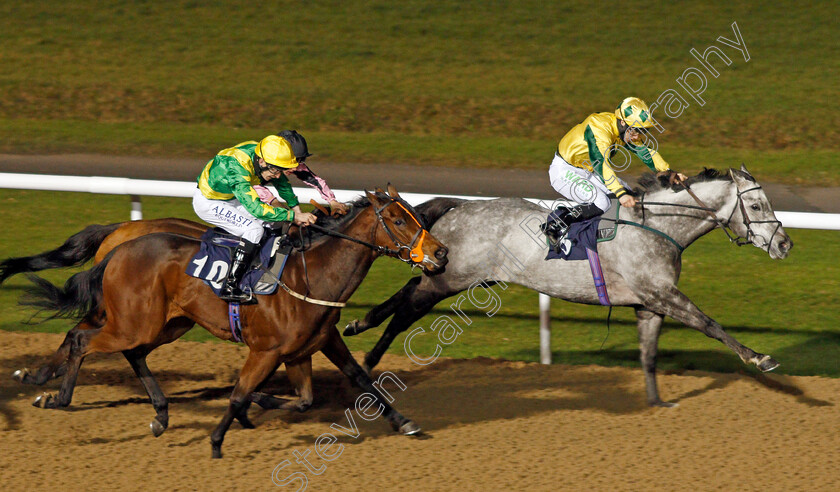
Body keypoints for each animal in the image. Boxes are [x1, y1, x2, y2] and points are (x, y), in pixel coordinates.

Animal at [19, 185, 446, 458]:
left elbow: (346, 385)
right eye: (398, 220)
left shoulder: (314, 344)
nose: (441, 253)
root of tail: (120, 244)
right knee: (82, 339)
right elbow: (241, 393)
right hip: (131, 322)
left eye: (418, 215)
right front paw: (218, 439)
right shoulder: (266, 351)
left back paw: (159, 414)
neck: (313, 275)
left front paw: (404, 422)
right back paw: (54, 394)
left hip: (166, 324)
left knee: (132, 353)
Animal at [348, 167, 796, 406]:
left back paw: (358, 325)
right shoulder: (664, 295)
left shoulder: (649, 304)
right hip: (449, 279)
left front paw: (656, 400)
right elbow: (710, 324)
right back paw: (368, 363)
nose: (785, 244)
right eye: (756, 205)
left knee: (406, 290)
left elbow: (649, 353)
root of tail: (459, 205)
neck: (659, 226)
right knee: (406, 312)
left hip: (454, 275)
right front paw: (760, 359)